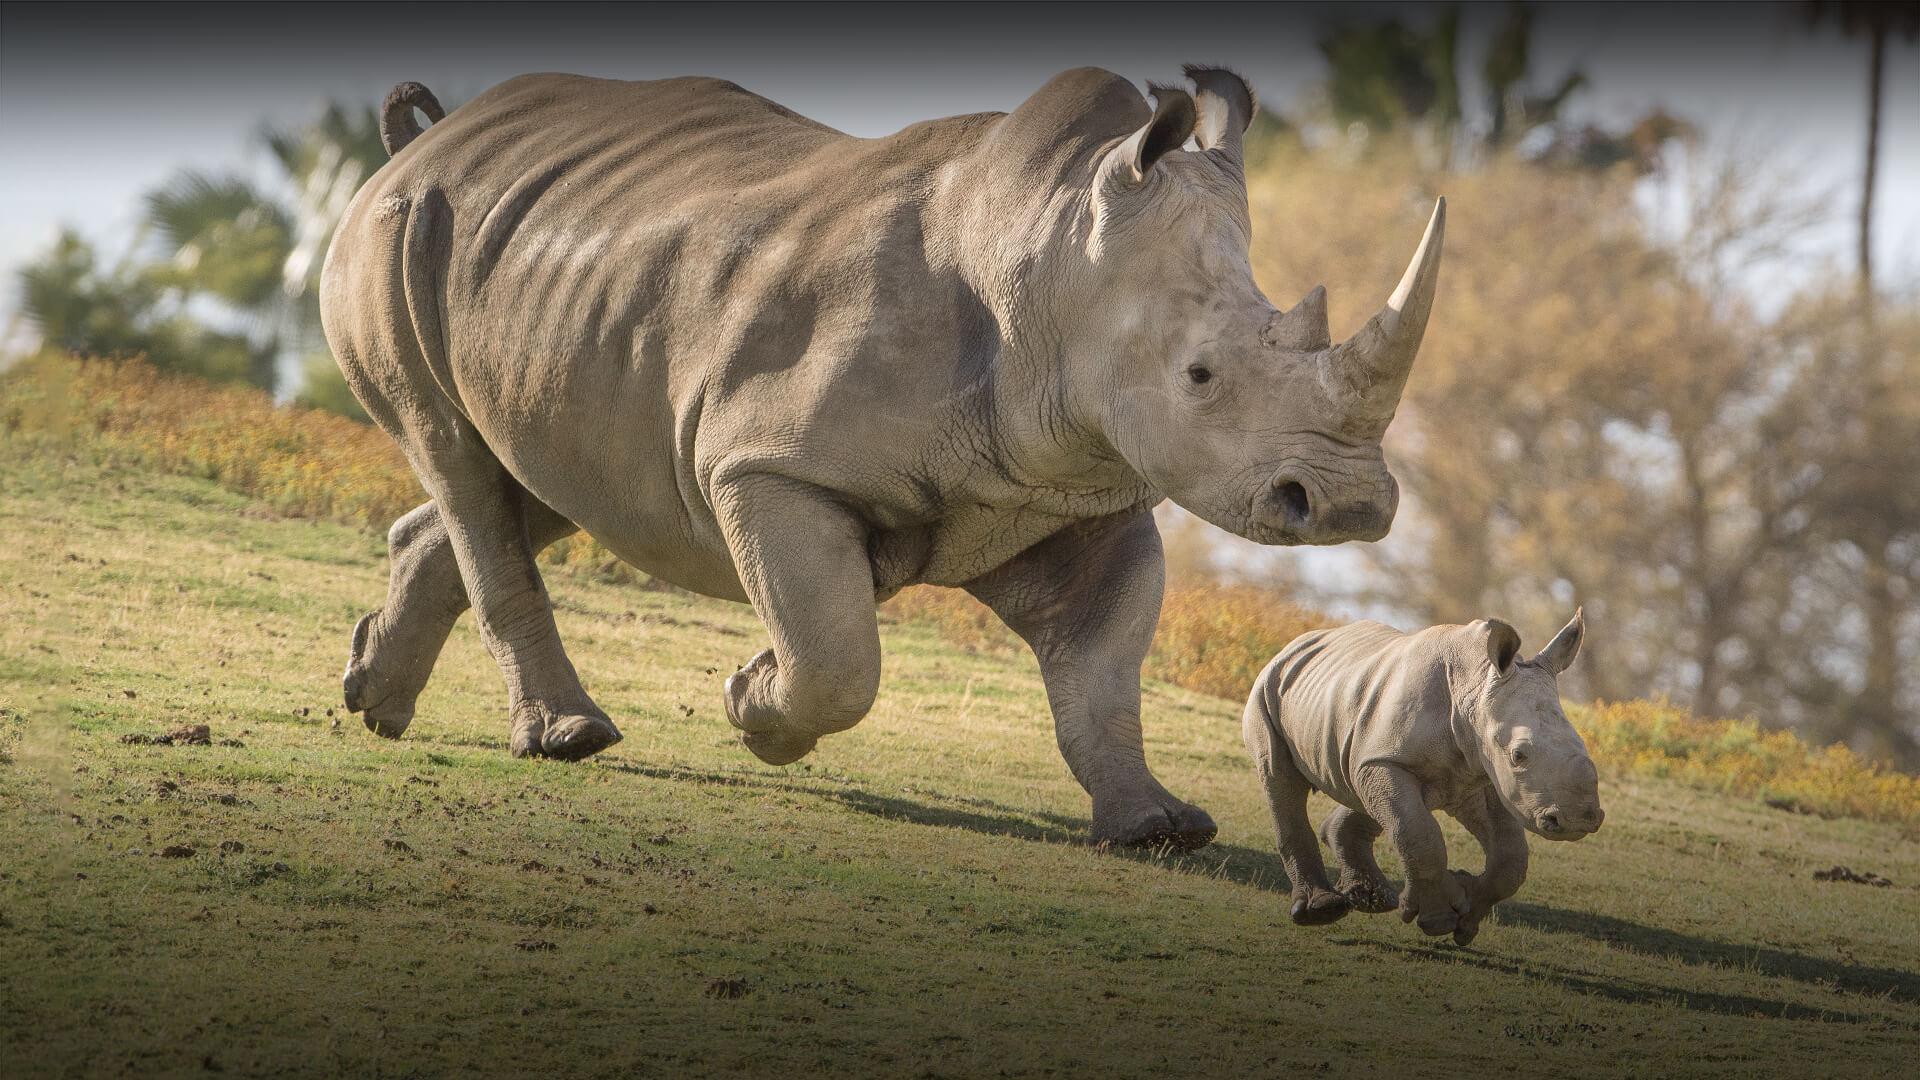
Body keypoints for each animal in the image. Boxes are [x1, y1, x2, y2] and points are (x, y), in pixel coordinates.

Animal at [322, 65, 1445, 850]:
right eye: (1201, 377)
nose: (1349, 505)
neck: (1053, 258)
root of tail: (423, 144)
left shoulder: (1080, 494)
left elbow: (1103, 671)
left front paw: (1158, 827)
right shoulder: (767, 463)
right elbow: (837, 658)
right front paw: (753, 702)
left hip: (560, 277)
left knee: (544, 469)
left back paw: (374, 699)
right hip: (395, 234)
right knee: (458, 458)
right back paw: (568, 738)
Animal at [1241, 611, 1601, 943]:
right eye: (1518, 755)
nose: (1579, 820)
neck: (1474, 685)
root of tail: (1298, 643)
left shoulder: (1481, 772)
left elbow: (1511, 856)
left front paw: (1465, 922)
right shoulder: (1390, 760)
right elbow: (1419, 835)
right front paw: (1440, 918)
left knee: (1365, 791)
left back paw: (1372, 900)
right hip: (1268, 687)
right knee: (1281, 778)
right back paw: (1321, 910)